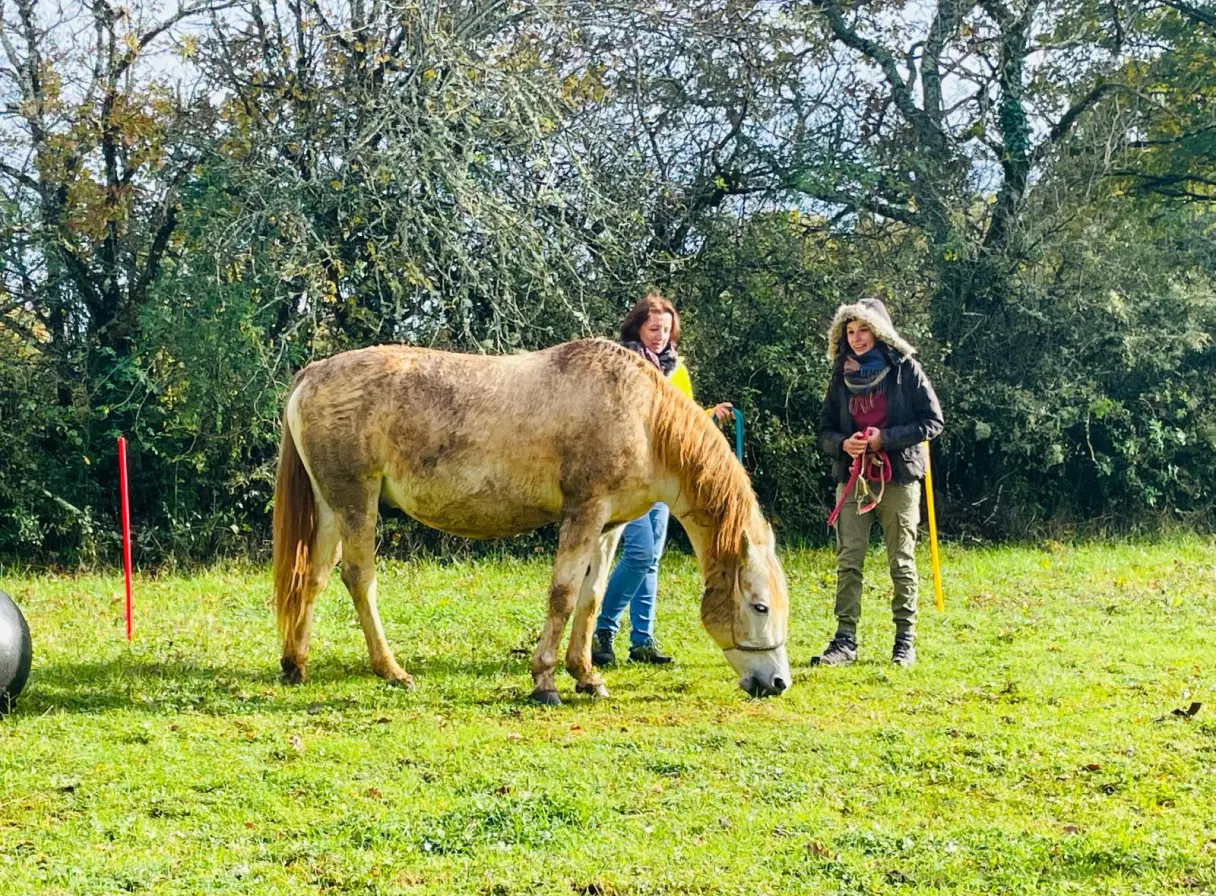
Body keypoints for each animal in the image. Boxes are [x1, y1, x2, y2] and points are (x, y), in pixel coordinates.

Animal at [271, 338, 790, 704]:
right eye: (759, 606)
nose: (778, 682)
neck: (641, 417)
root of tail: (313, 374)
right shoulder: (583, 514)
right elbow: (563, 595)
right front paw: (545, 682)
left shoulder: (608, 528)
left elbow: (592, 598)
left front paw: (587, 676)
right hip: (357, 503)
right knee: (359, 579)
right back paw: (392, 670)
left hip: (331, 506)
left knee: (313, 578)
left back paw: (296, 663)